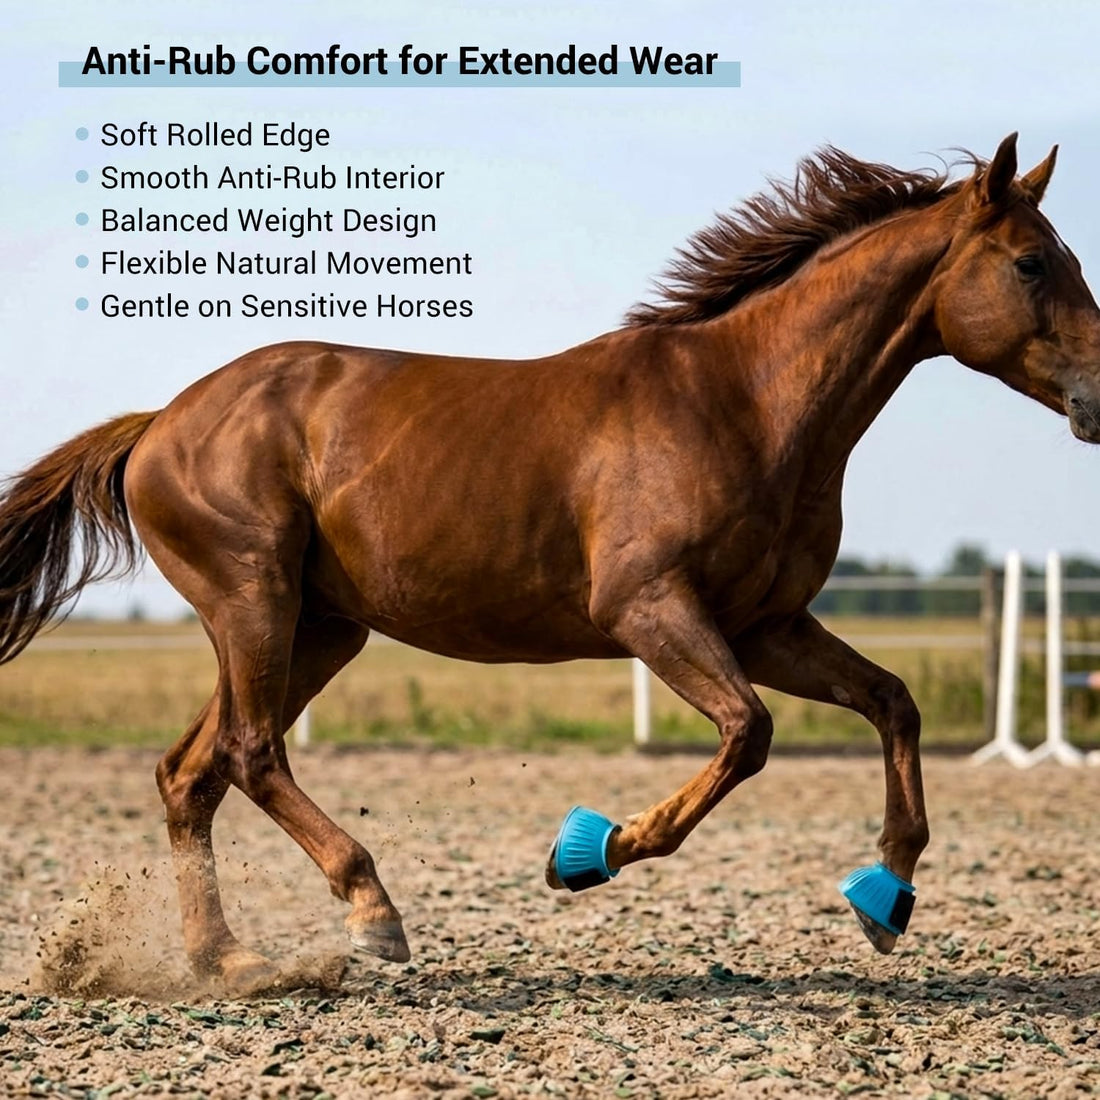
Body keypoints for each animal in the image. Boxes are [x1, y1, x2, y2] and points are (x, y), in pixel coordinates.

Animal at [2, 133, 1098, 992]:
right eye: (1030, 264)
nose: (1097, 395)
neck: (744, 403)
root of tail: (159, 424)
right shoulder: (650, 610)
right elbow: (746, 734)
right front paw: (588, 852)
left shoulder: (766, 625)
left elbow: (891, 702)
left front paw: (886, 893)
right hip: (253, 601)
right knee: (247, 751)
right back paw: (370, 911)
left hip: (318, 626)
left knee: (189, 773)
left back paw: (226, 963)